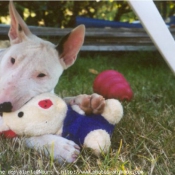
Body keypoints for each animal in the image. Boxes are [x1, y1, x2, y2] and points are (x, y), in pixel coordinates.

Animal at [0, 1, 105, 163]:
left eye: (41, 75)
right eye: (12, 60)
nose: (2, 106)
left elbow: (64, 100)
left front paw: (88, 102)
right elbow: (22, 134)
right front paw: (58, 146)